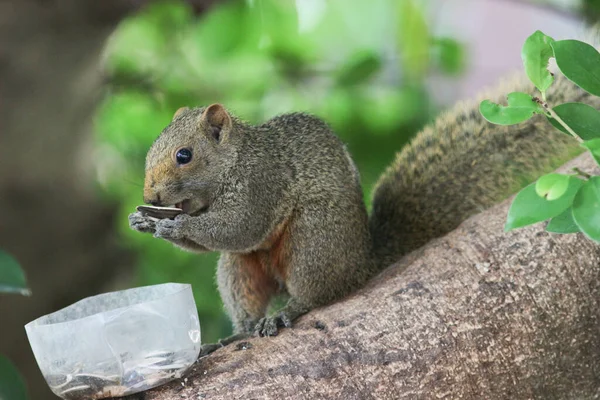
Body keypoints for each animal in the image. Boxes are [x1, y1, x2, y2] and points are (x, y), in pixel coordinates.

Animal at [127, 72, 600, 354]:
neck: (233, 162)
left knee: (316, 293)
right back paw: (237, 334)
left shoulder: (262, 184)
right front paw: (146, 220)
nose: (149, 192)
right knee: (246, 300)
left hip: (314, 242)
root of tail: (364, 261)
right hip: (241, 270)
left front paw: (173, 225)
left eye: (184, 155)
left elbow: (237, 227)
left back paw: (289, 310)